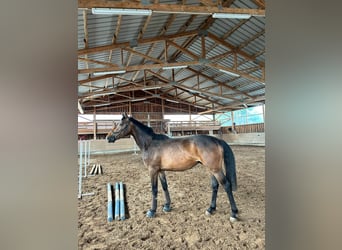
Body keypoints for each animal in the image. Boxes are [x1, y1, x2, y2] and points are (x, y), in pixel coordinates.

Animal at [106, 112, 238, 222]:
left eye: (121, 124)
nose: (108, 137)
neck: (150, 143)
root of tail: (216, 140)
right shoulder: (160, 171)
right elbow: (165, 186)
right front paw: (167, 206)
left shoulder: (152, 170)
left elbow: (154, 189)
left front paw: (152, 211)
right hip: (211, 169)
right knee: (215, 186)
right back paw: (211, 209)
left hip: (215, 170)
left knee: (226, 185)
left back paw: (233, 213)